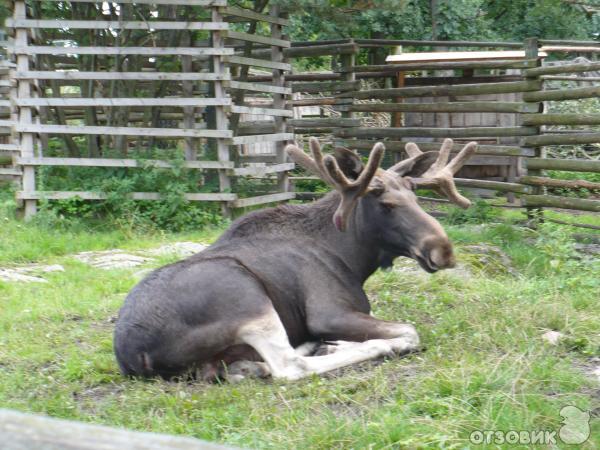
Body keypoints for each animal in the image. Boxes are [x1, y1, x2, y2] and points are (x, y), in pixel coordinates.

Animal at [115, 139, 476, 382]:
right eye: (386, 204)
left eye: (415, 197)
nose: (444, 250)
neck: (352, 258)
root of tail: (133, 355)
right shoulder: (328, 313)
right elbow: (410, 331)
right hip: (245, 294)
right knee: (289, 366)